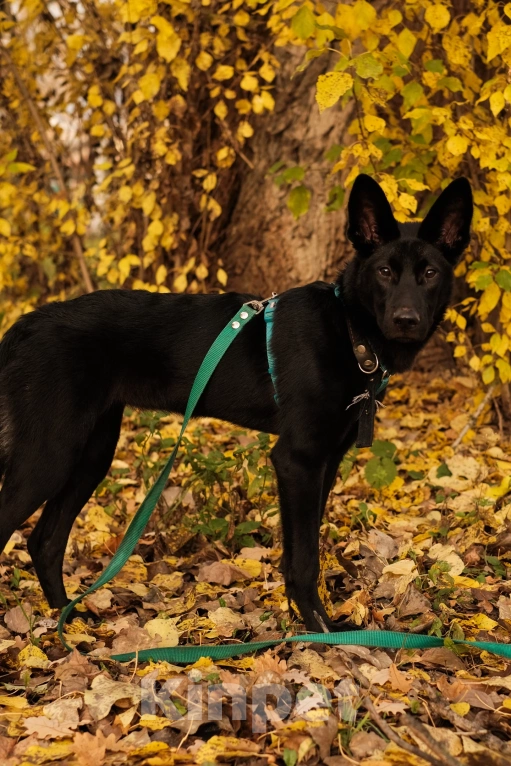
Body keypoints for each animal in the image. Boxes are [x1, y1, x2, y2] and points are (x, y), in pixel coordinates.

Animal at [0, 177, 472, 632]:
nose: (406, 320)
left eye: (430, 272)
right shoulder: (297, 459)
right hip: (50, 453)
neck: (349, 329)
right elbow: (305, 558)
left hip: (92, 451)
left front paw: (301, 620)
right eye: (385, 271)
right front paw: (320, 630)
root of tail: (25, 324)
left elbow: (299, 551)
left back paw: (68, 620)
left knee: (44, 541)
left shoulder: (325, 463)